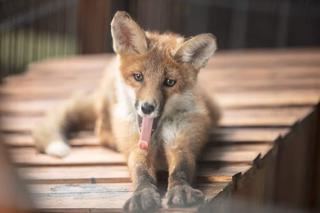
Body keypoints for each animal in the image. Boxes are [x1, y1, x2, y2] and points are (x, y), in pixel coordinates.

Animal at [33, 11, 221, 211]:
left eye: (170, 82)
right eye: (138, 77)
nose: (147, 108)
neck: (157, 137)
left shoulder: (182, 142)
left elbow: (181, 169)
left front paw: (181, 190)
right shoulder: (136, 146)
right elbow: (141, 172)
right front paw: (143, 195)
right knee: (101, 130)